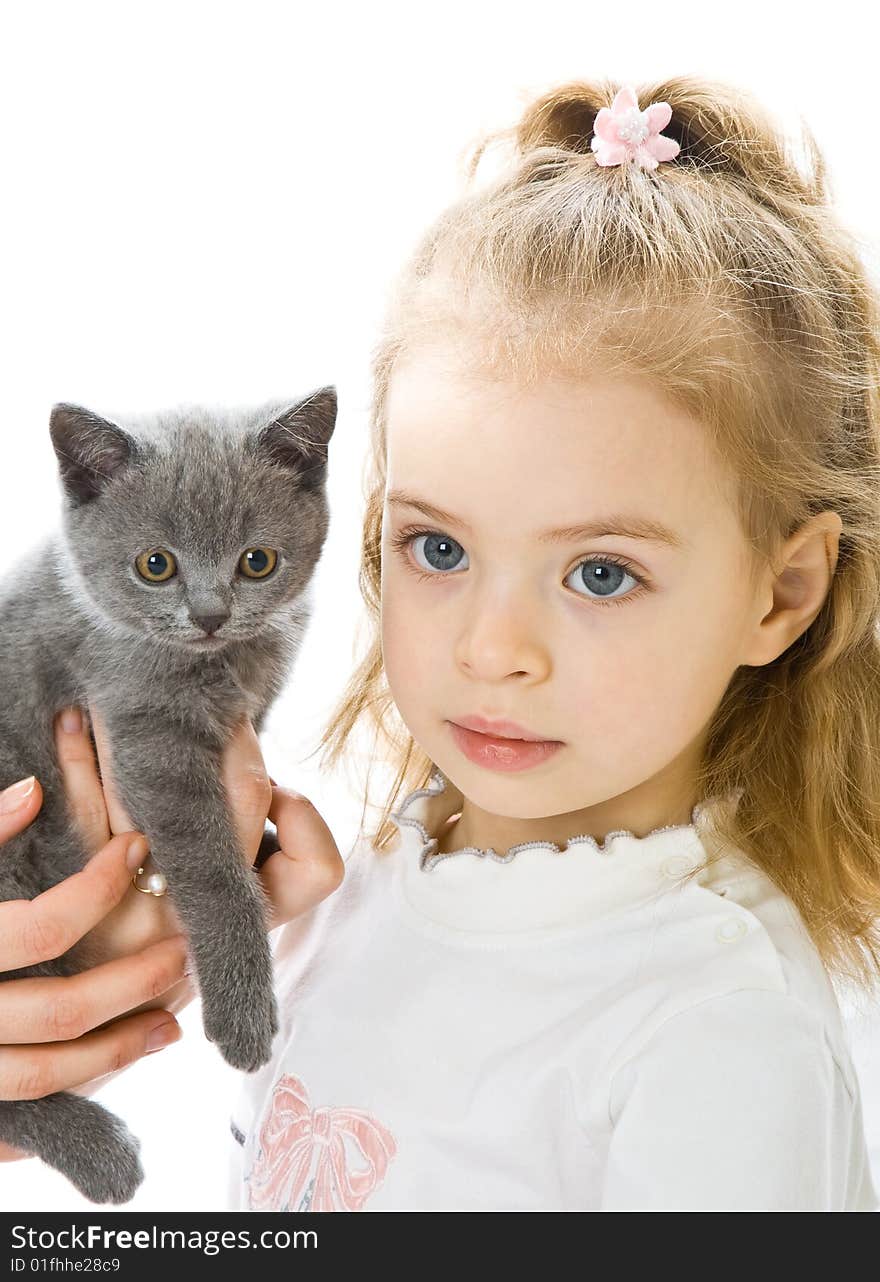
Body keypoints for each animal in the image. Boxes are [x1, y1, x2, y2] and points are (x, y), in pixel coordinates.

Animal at [0, 387, 338, 1199]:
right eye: (156, 566)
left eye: (257, 562)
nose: (211, 614)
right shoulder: (141, 727)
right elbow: (212, 867)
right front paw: (244, 1012)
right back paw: (99, 1150)